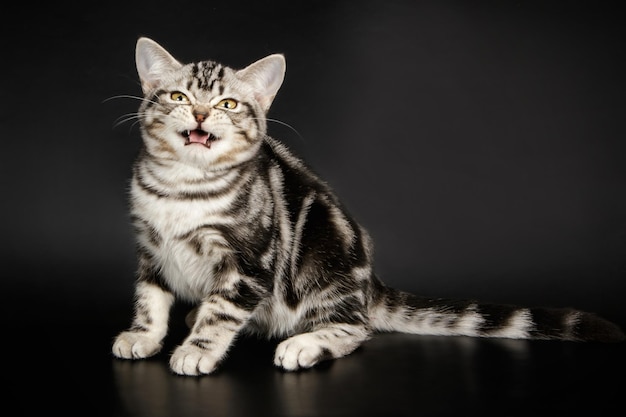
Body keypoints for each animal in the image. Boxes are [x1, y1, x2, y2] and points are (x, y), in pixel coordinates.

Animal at [109, 37, 620, 376]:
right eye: (179, 96)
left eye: (228, 104)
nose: (199, 114)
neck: (183, 186)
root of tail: (370, 284)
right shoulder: (150, 248)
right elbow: (150, 297)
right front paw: (145, 335)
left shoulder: (249, 262)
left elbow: (222, 311)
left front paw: (198, 348)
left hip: (323, 262)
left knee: (356, 328)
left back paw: (306, 345)